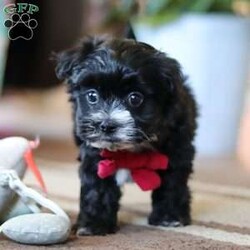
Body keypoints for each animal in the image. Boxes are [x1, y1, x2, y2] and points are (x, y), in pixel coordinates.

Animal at [54, 36, 197, 235]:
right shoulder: (96, 157)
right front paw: (94, 225)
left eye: (135, 98)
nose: (106, 125)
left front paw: (169, 217)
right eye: (92, 96)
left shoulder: (176, 150)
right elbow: (96, 190)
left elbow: (172, 184)